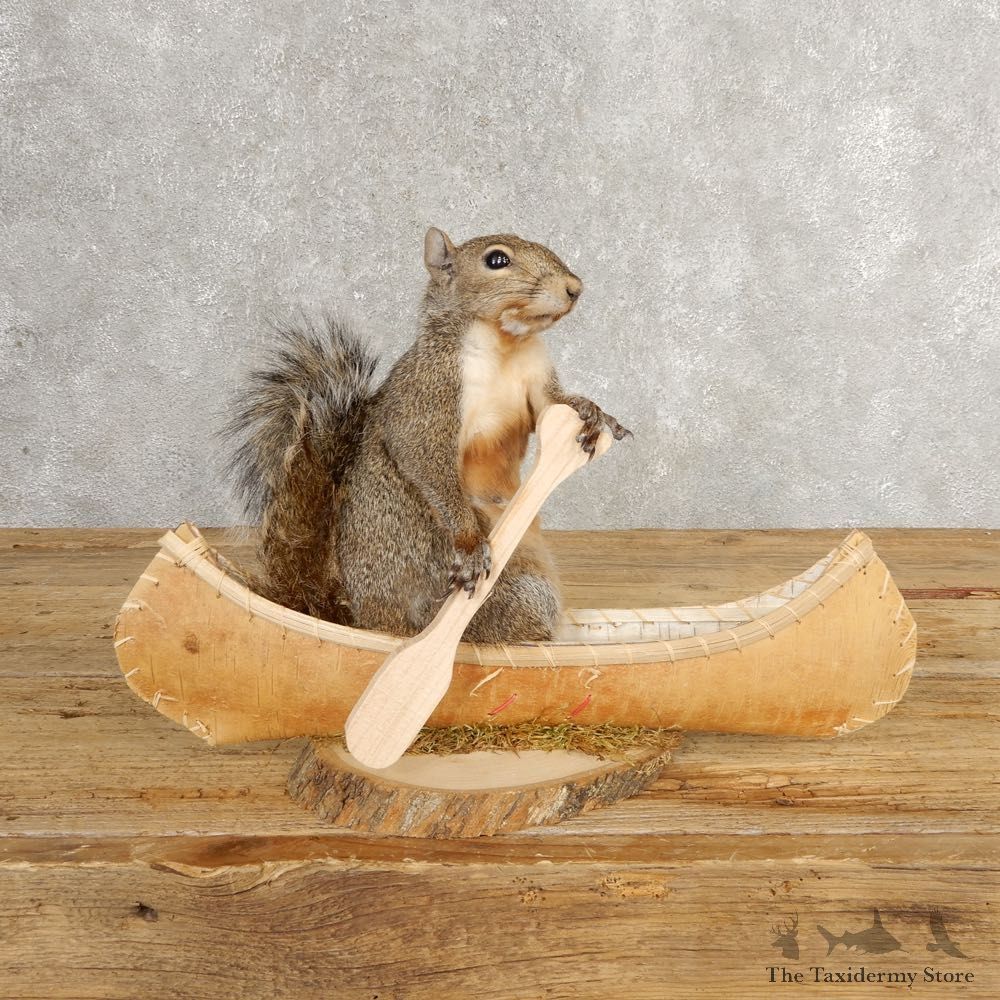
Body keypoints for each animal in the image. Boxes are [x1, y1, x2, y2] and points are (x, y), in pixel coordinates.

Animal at [225, 228, 630, 643]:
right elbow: (423, 459)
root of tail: (373, 622)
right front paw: (469, 544)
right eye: (497, 260)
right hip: (510, 594)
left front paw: (593, 413)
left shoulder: (536, 377)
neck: (505, 345)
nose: (574, 288)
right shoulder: (428, 395)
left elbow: (554, 406)